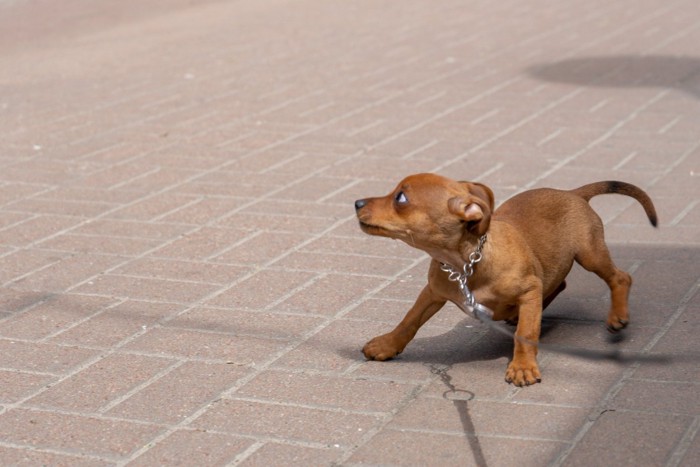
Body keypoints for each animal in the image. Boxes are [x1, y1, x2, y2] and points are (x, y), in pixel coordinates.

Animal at [356, 174, 656, 386]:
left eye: (401, 198)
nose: (357, 202)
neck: (465, 265)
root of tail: (573, 193)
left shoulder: (529, 290)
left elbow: (526, 333)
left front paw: (523, 367)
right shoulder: (432, 292)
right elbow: (409, 320)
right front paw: (387, 345)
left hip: (590, 253)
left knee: (620, 277)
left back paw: (617, 316)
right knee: (558, 284)